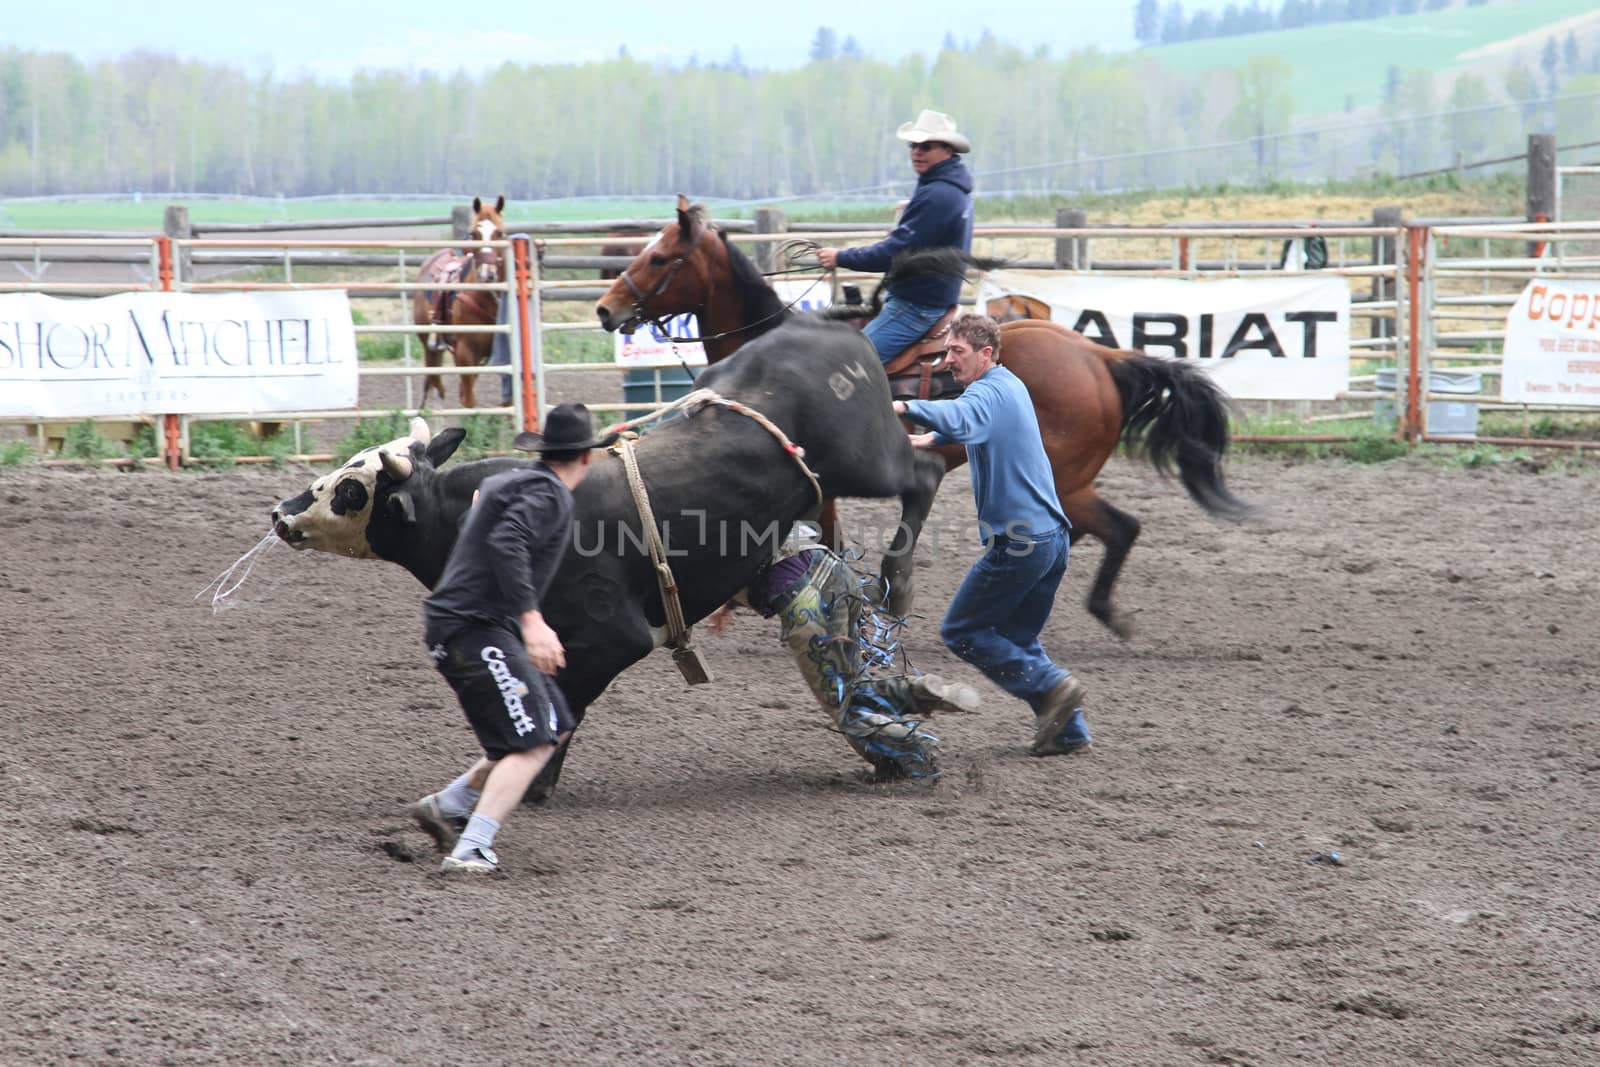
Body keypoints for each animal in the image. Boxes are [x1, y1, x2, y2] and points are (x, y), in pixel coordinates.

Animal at [273, 316, 947, 799]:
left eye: (350, 490)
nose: (280, 512)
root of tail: (831, 328)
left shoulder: (612, 637)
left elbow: (564, 704)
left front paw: (534, 783)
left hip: (867, 460)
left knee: (925, 470)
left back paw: (898, 578)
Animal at [412, 194, 505, 406]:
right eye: (473, 234)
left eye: (499, 232)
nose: (487, 274)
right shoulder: (465, 353)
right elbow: (469, 400)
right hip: (431, 348)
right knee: (436, 385)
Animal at [595, 197, 1254, 639]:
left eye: (659, 257)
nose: (605, 309)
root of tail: (1101, 356)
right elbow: (828, 539)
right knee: (1108, 530)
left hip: (1066, 476)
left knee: (1114, 529)